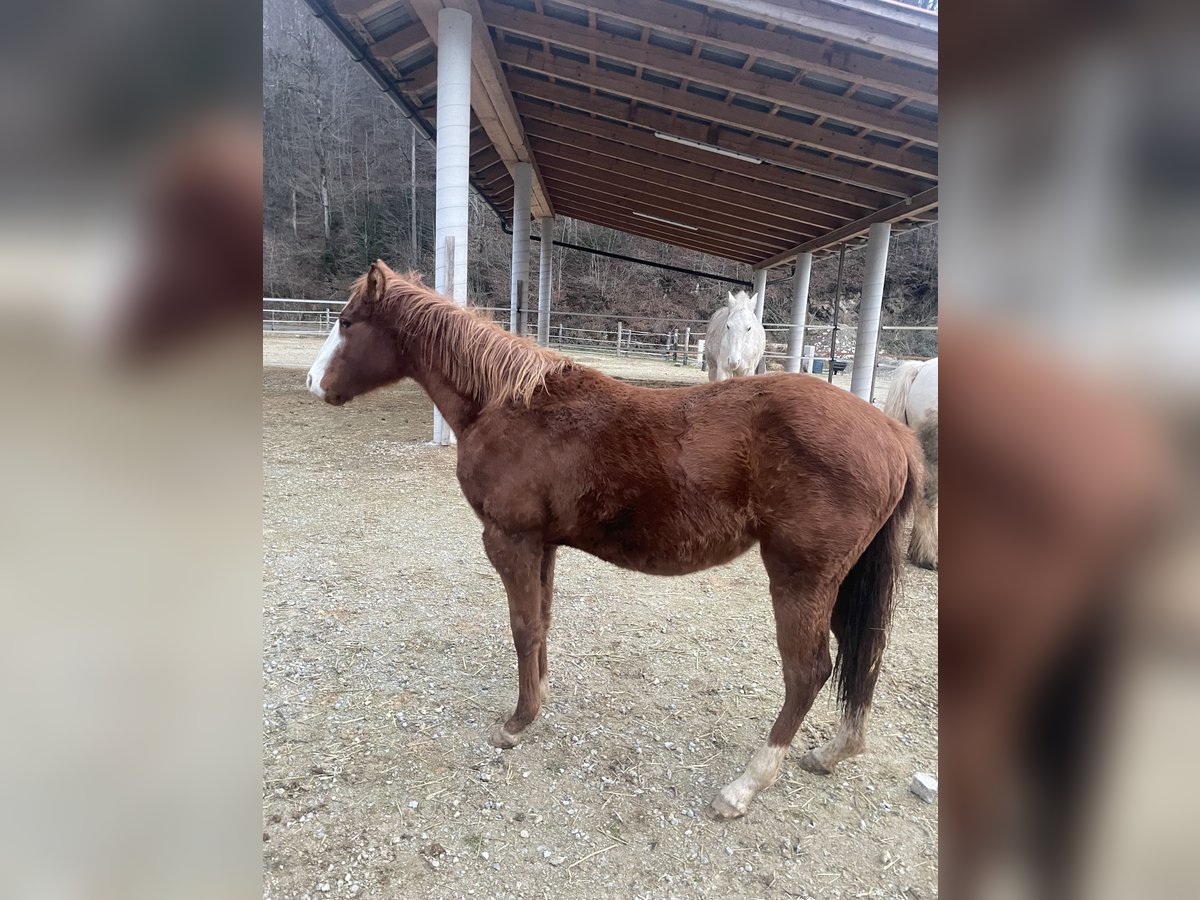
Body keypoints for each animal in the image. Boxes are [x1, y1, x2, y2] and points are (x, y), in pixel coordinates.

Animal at [307, 260, 916, 816]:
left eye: (346, 321)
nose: (313, 383)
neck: (509, 405)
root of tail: (892, 434)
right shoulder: (543, 545)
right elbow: (542, 622)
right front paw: (539, 699)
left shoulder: (510, 540)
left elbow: (523, 628)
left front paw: (516, 723)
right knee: (864, 657)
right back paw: (834, 752)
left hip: (801, 579)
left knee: (808, 672)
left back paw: (745, 786)